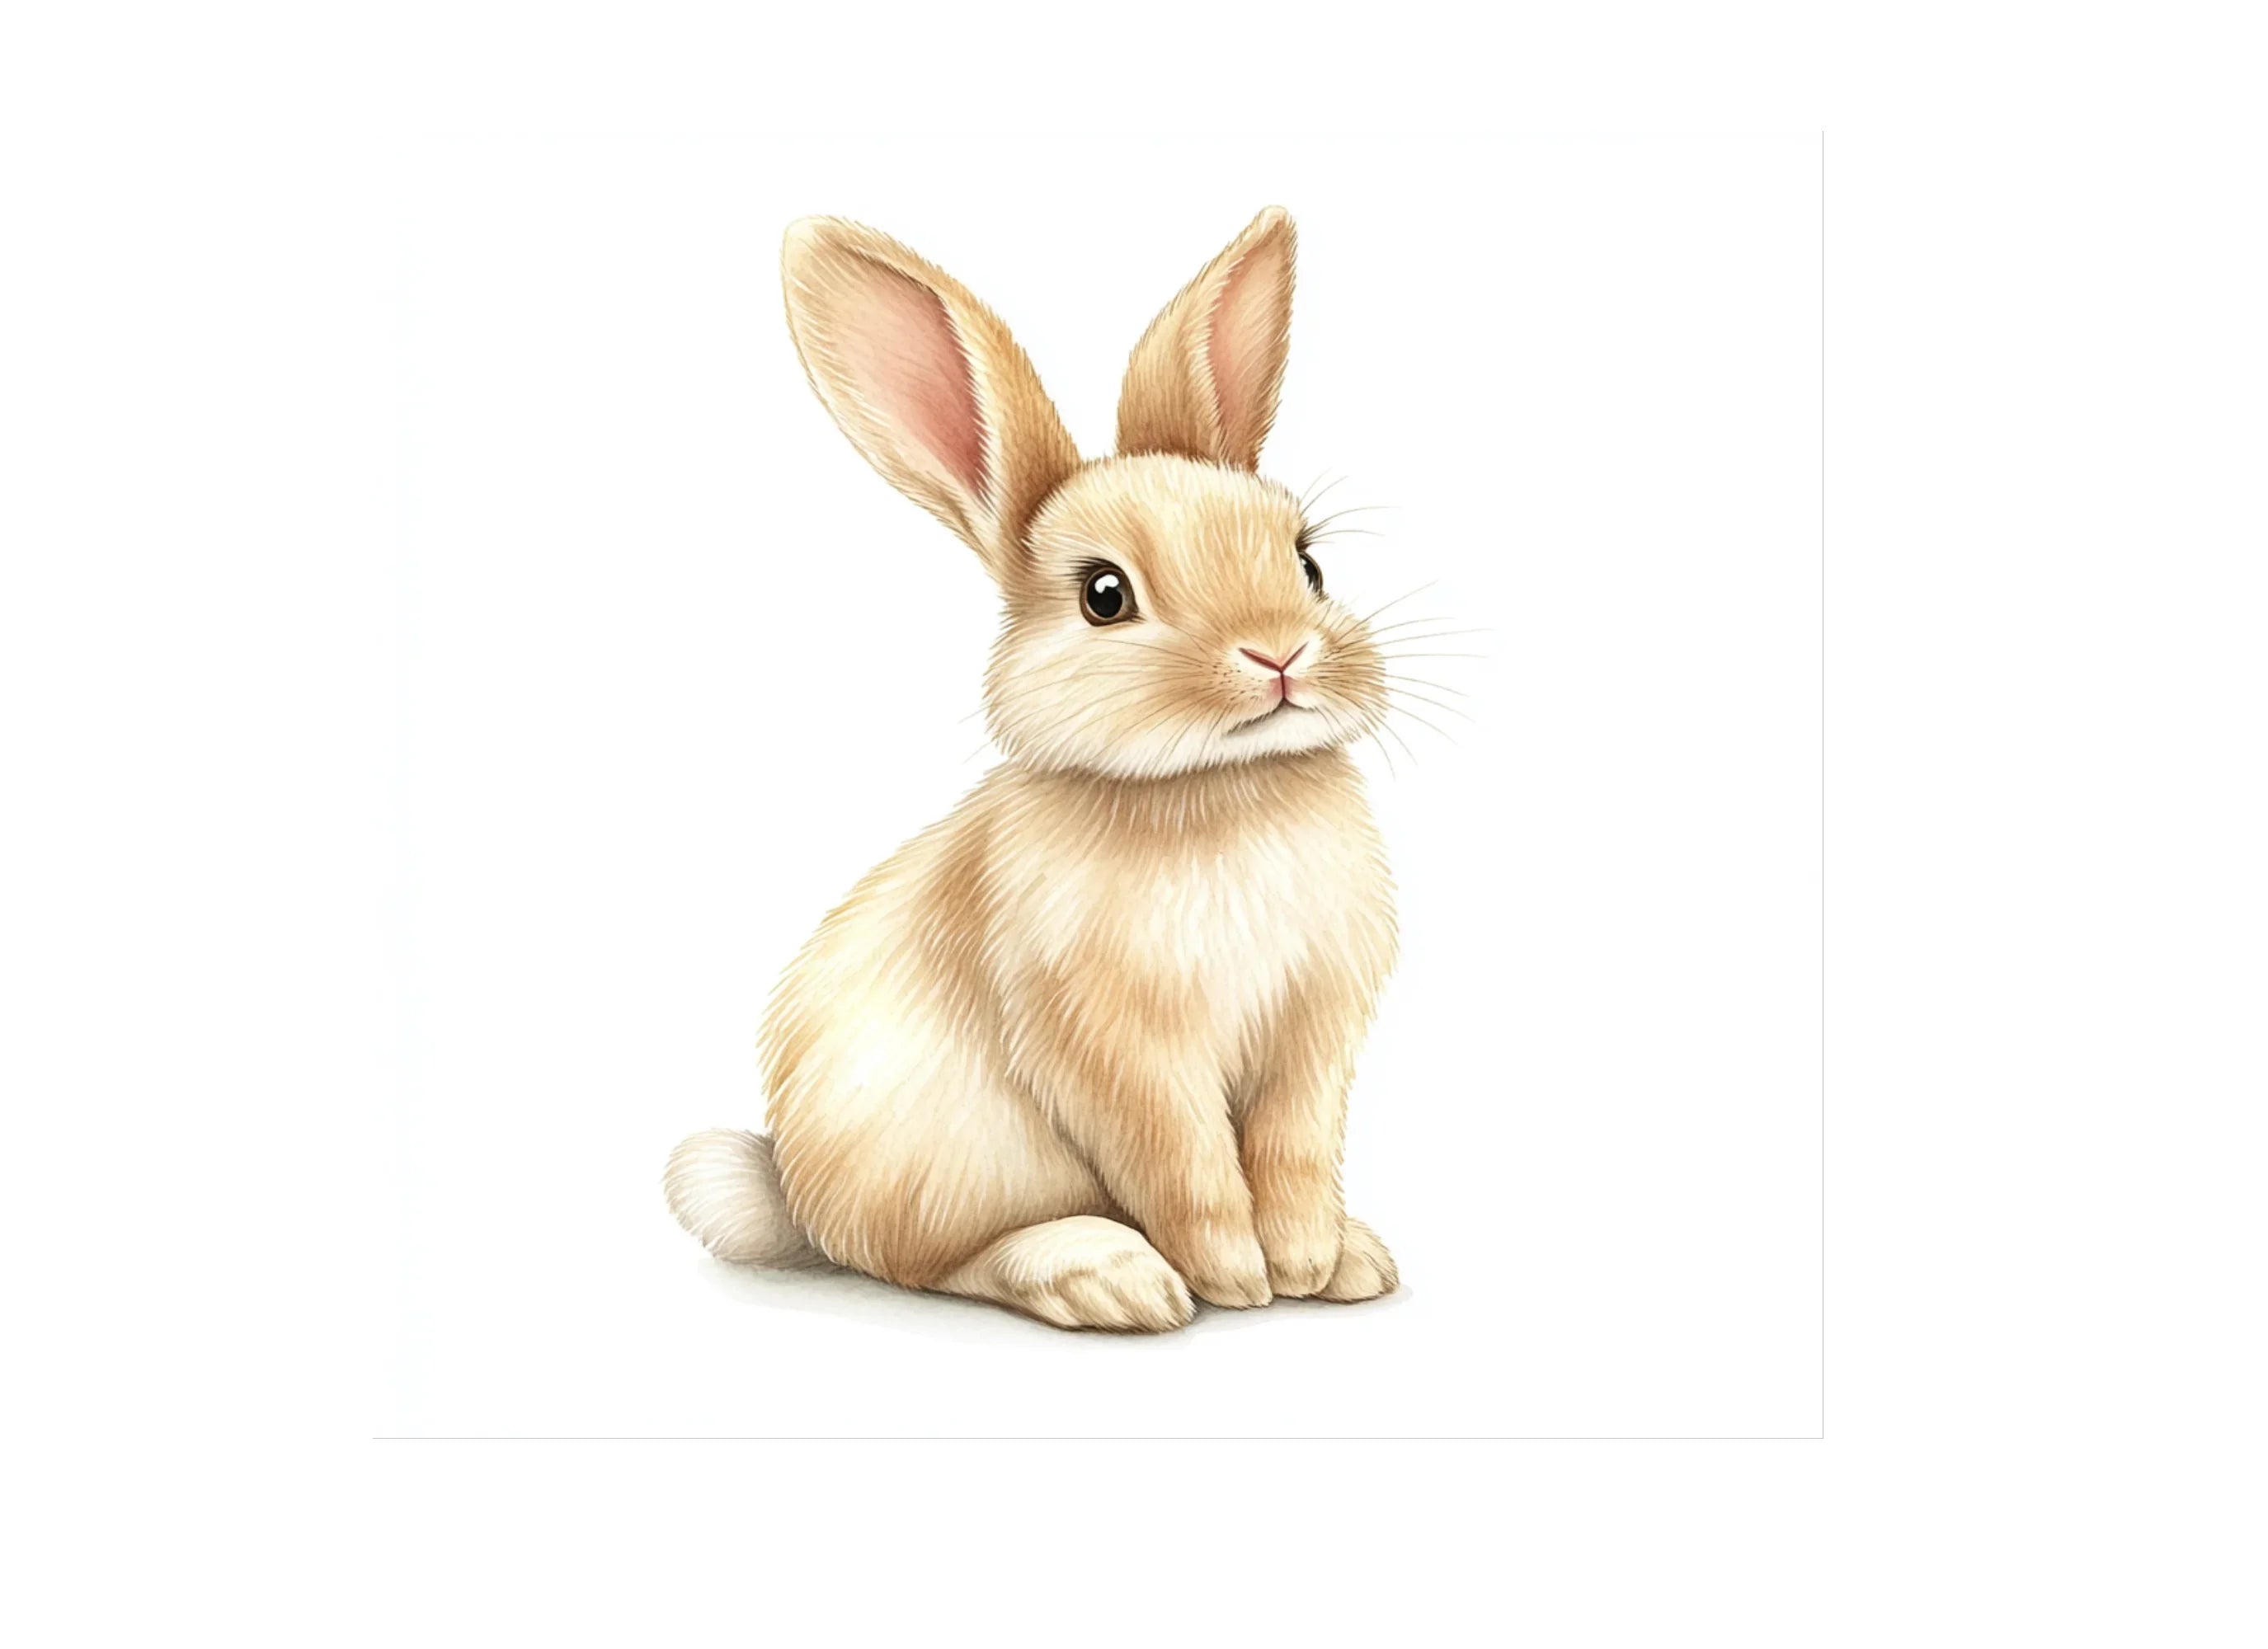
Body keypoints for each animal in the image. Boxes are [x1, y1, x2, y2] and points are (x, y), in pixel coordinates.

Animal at [665, 207, 1402, 1331]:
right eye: (1104, 594)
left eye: (1308, 562)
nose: (1278, 655)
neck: (1215, 787)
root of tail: (791, 1190)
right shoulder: (1112, 1046)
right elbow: (1185, 1162)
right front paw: (1234, 1279)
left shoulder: (1311, 1033)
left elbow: (1292, 1151)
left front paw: (1313, 1263)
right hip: (946, 1160)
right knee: (940, 1259)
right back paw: (1107, 1274)